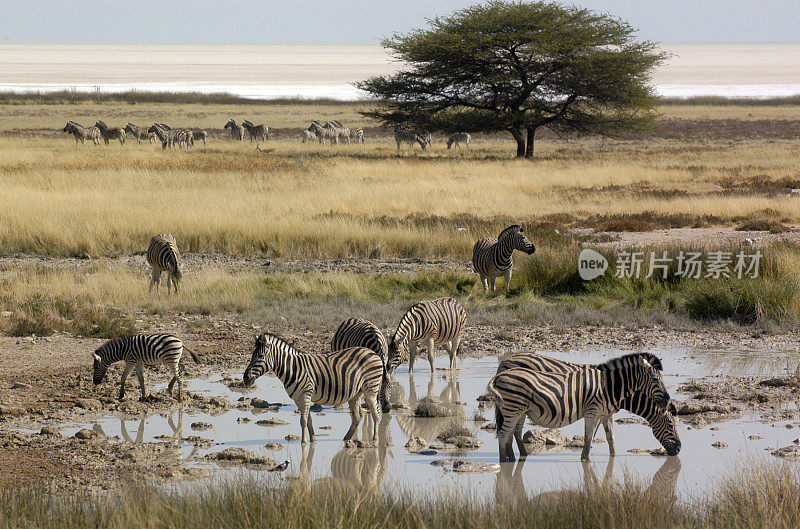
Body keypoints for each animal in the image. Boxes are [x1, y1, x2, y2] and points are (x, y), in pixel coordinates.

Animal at [244, 332, 394, 444]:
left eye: (260, 356)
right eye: (252, 356)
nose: (245, 378)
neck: (293, 368)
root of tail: (373, 353)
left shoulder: (306, 394)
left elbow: (303, 420)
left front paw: (303, 442)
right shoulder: (298, 398)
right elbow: (308, 420)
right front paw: (313, 440)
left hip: (371, 389)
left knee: (376, 413)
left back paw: (375, 439)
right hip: (357, 392)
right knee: (358, 416)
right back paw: (346, 438)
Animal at [496, 352, 680, 460]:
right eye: (671, 425)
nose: (678, 449)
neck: (611, 385)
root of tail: (506, 361)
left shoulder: (607, 412)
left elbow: (610, 437)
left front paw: (612, 457)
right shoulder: (595, 410)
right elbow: (590, 435)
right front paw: (586, 455)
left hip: (520, 408)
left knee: (513, 431)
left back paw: (518, 456)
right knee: (510, 432)